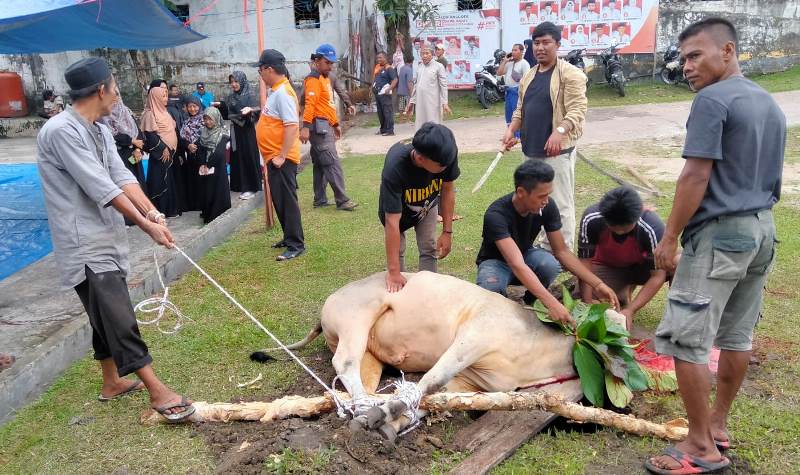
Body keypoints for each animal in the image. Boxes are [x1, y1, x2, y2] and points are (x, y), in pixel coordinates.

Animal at [253, 272, 620, 442]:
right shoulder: (473, 336)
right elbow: (431, 381)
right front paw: (386, 416)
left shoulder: (472, 382)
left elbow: (436, 398)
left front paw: (394, 424)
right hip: (357, 319)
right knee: (343, 362)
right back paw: (366, 409)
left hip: (370, 352)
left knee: (359, 378)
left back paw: (366, 407)